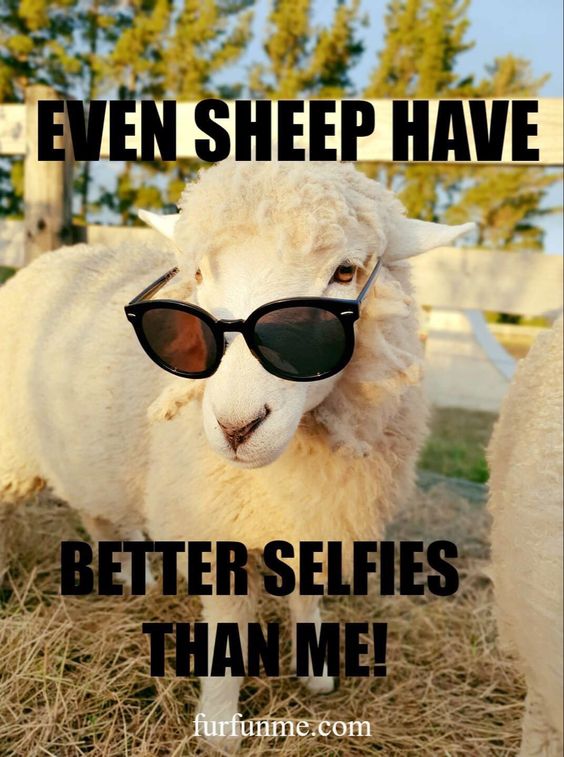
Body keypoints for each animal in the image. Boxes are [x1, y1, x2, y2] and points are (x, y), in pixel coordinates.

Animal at [0, 160, 473, 748]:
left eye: (345, 271)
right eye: (199, 275)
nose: (235, 426)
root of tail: (50, 258)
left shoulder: (314, 514)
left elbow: (307, 593)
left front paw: (317, 670)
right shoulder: (213, 523)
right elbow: (229, 621)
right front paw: (220, 725)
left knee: (99, 514)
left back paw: (135, 578)